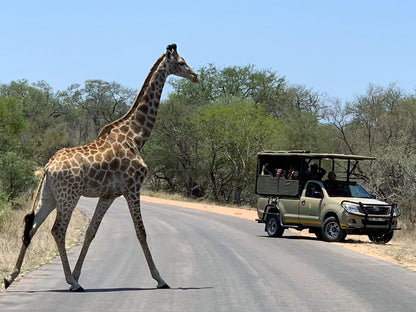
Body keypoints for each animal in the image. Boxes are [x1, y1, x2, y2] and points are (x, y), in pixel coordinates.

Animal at [3, 44, 198, 292]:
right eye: (182, 62)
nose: (195, 76)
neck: (137, 136)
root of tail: (47, 167)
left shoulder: (109, 194)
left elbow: (91, 232)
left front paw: (78, 273)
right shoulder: (132, 188)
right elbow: (141, 232)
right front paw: (160, 278)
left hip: (50, 196)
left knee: (32, 226)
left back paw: (11, 278)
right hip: (69, 196)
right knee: (57, 230)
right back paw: (72, 283)